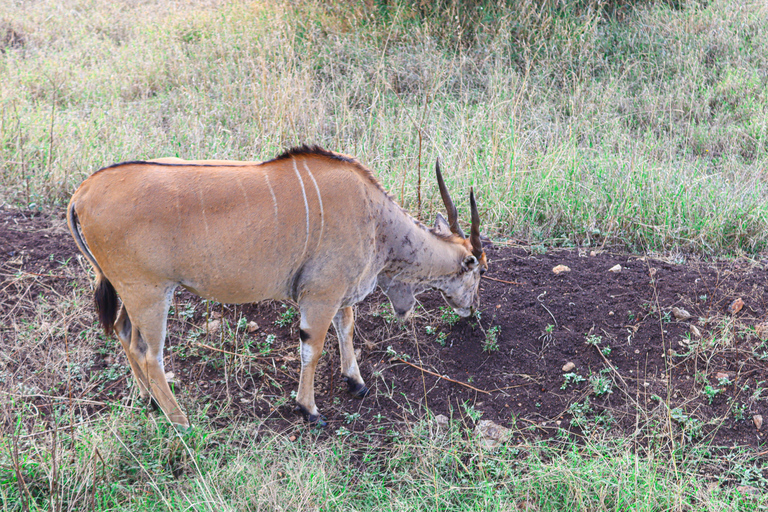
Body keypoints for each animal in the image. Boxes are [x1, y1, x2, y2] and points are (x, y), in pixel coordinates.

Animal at [67, 146, 486, 430]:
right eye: (478, 269)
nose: (472, 310)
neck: (376, 219)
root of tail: (82, 192)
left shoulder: (340, 295)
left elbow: (347, 329)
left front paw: (355, 382)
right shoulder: (321, 296)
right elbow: (312, 349)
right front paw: (309, 410)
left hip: (131, 293)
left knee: (124, 334)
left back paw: (148, 400)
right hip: (150, 294)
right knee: (149, 354)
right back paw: (181, 420)